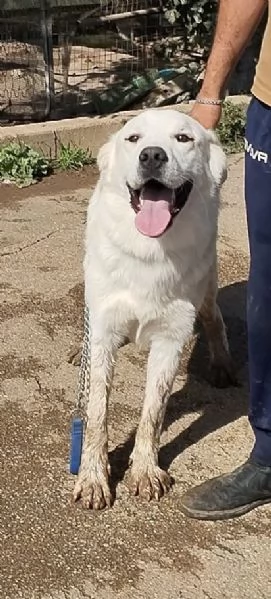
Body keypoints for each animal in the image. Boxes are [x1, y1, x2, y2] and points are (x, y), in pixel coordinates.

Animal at [73, 109, 237, 510]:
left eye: (183, 138)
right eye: (133, 139)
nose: (151, 156)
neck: (149, 251)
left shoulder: (171, 339)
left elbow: (153, 411)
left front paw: (145, 471)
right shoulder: (103, 330)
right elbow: (96, 412)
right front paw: (93, 478)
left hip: (205, 289)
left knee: (215, 318)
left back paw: (222, 363)